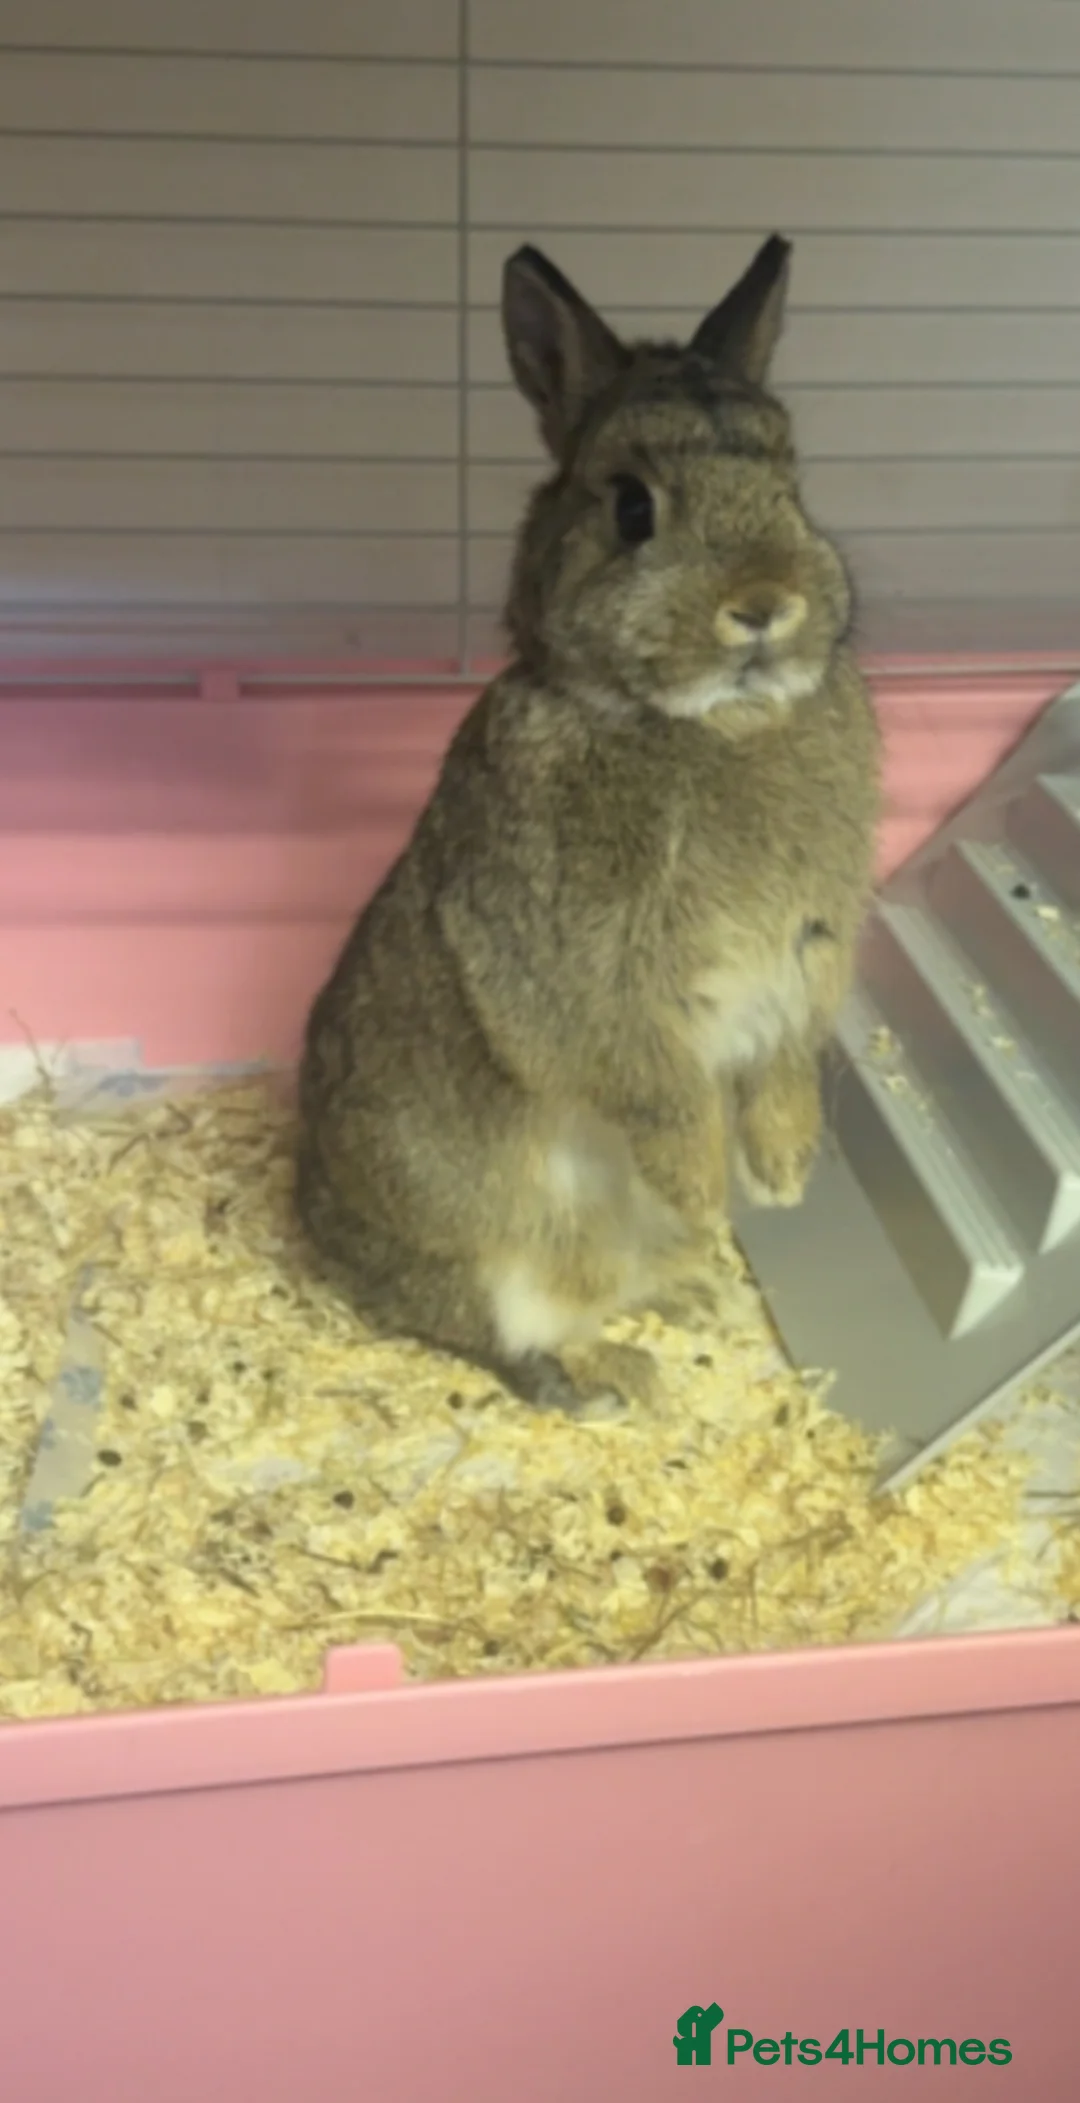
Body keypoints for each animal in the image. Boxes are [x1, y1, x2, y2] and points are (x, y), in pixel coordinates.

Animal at [295, 231, 882, 1415]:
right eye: (631, 508)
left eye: (793, 483)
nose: (765, 603)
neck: (704, 726)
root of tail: (321, 1230)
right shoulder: (588, 978)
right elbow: (659, 1091)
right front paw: (709, 1188)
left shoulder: (807, 954)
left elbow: (787, 1063)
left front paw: (783, 1178)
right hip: (487, 1244)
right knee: (505, 1342)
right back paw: (616, 1373)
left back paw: (692, 1294)